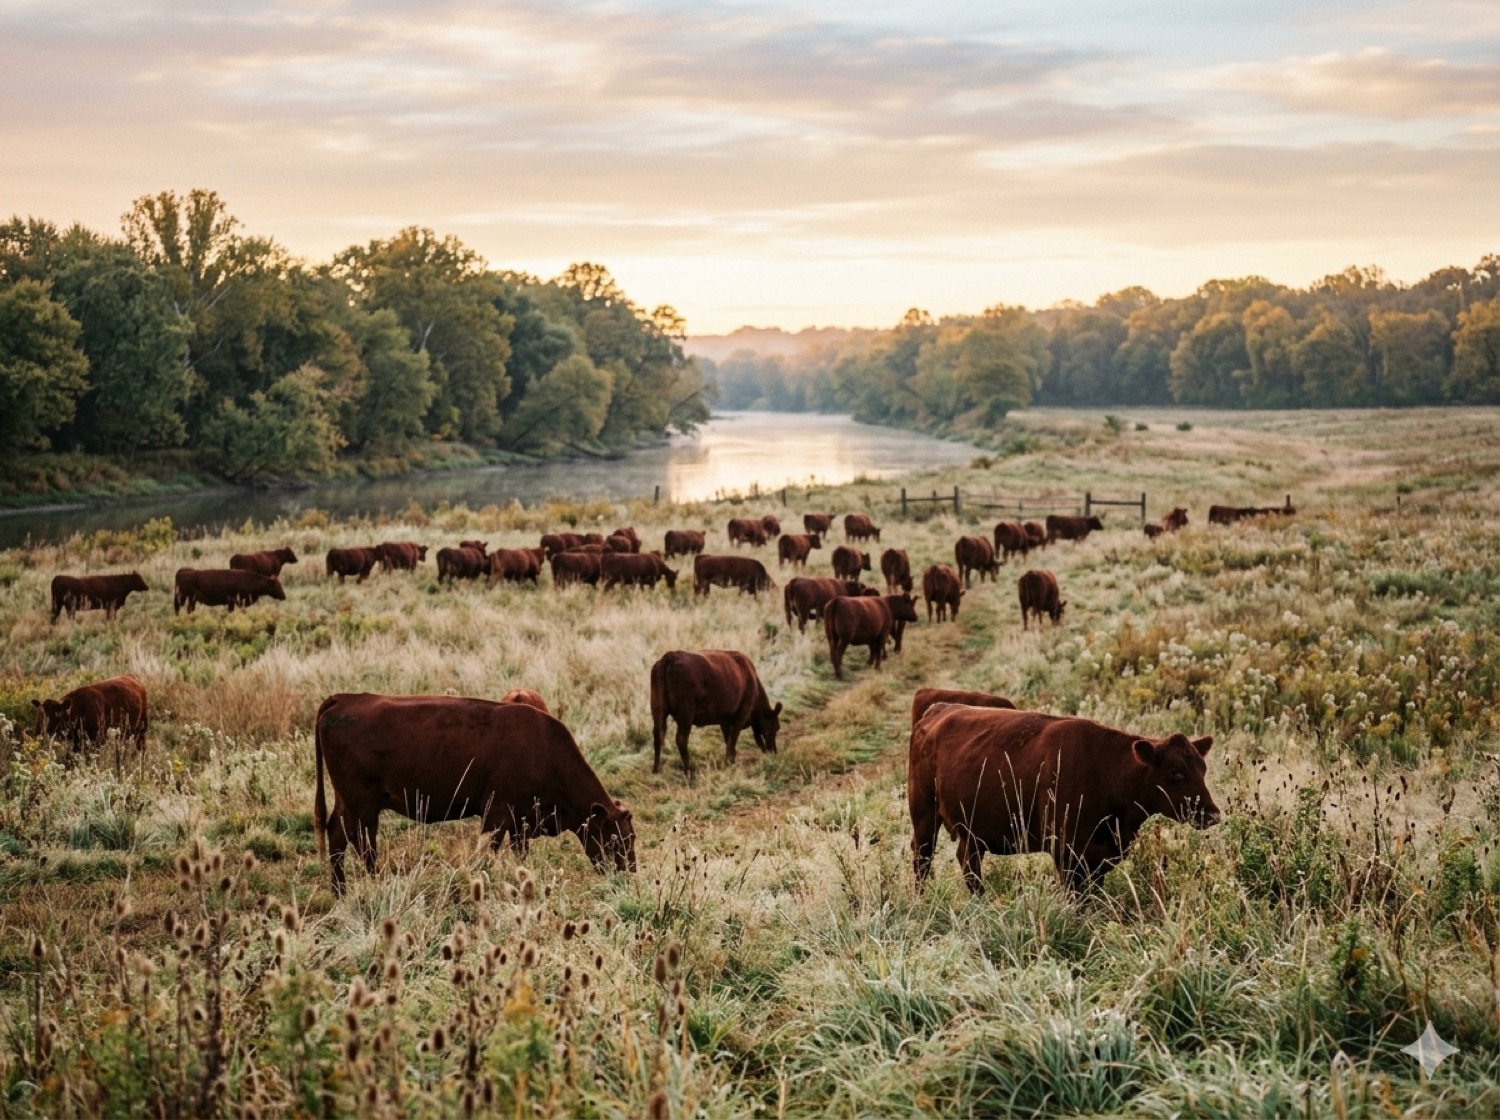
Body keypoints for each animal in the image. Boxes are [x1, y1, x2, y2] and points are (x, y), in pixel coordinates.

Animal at [313, 694, 636, 895]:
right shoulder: (498, 814)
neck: (543, 749)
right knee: (364, 843)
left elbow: (520, 853)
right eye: (616, 840)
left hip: (347, 802)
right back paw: (377, 884)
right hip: (364, 806)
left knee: (338, 836)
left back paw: (340, 892)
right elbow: (488, 852)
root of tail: (344, 698)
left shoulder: (520, 822)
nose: (628, 876)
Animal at [649, 650, 782, 774]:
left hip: (658, 710)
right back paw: (689, 772)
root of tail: (672, 655)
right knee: (681, 739)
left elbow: (728, 740)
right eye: (775, 727)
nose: (774, 752)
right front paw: (730, 763)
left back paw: (656, 769)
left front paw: (730, 762)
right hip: (685, 715)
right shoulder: (740, 715)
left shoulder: (725, 720)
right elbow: (732, 740)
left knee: (658, 735)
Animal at [908, 704, 1218, 892]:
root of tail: (939, 709)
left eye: (1203, 768)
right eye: (1175, 771)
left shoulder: (1100, 856)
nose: (1212, 813)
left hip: (972, 831)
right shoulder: (1066, 852)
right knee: (922, 857)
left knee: (967, 862)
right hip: (924, 815)